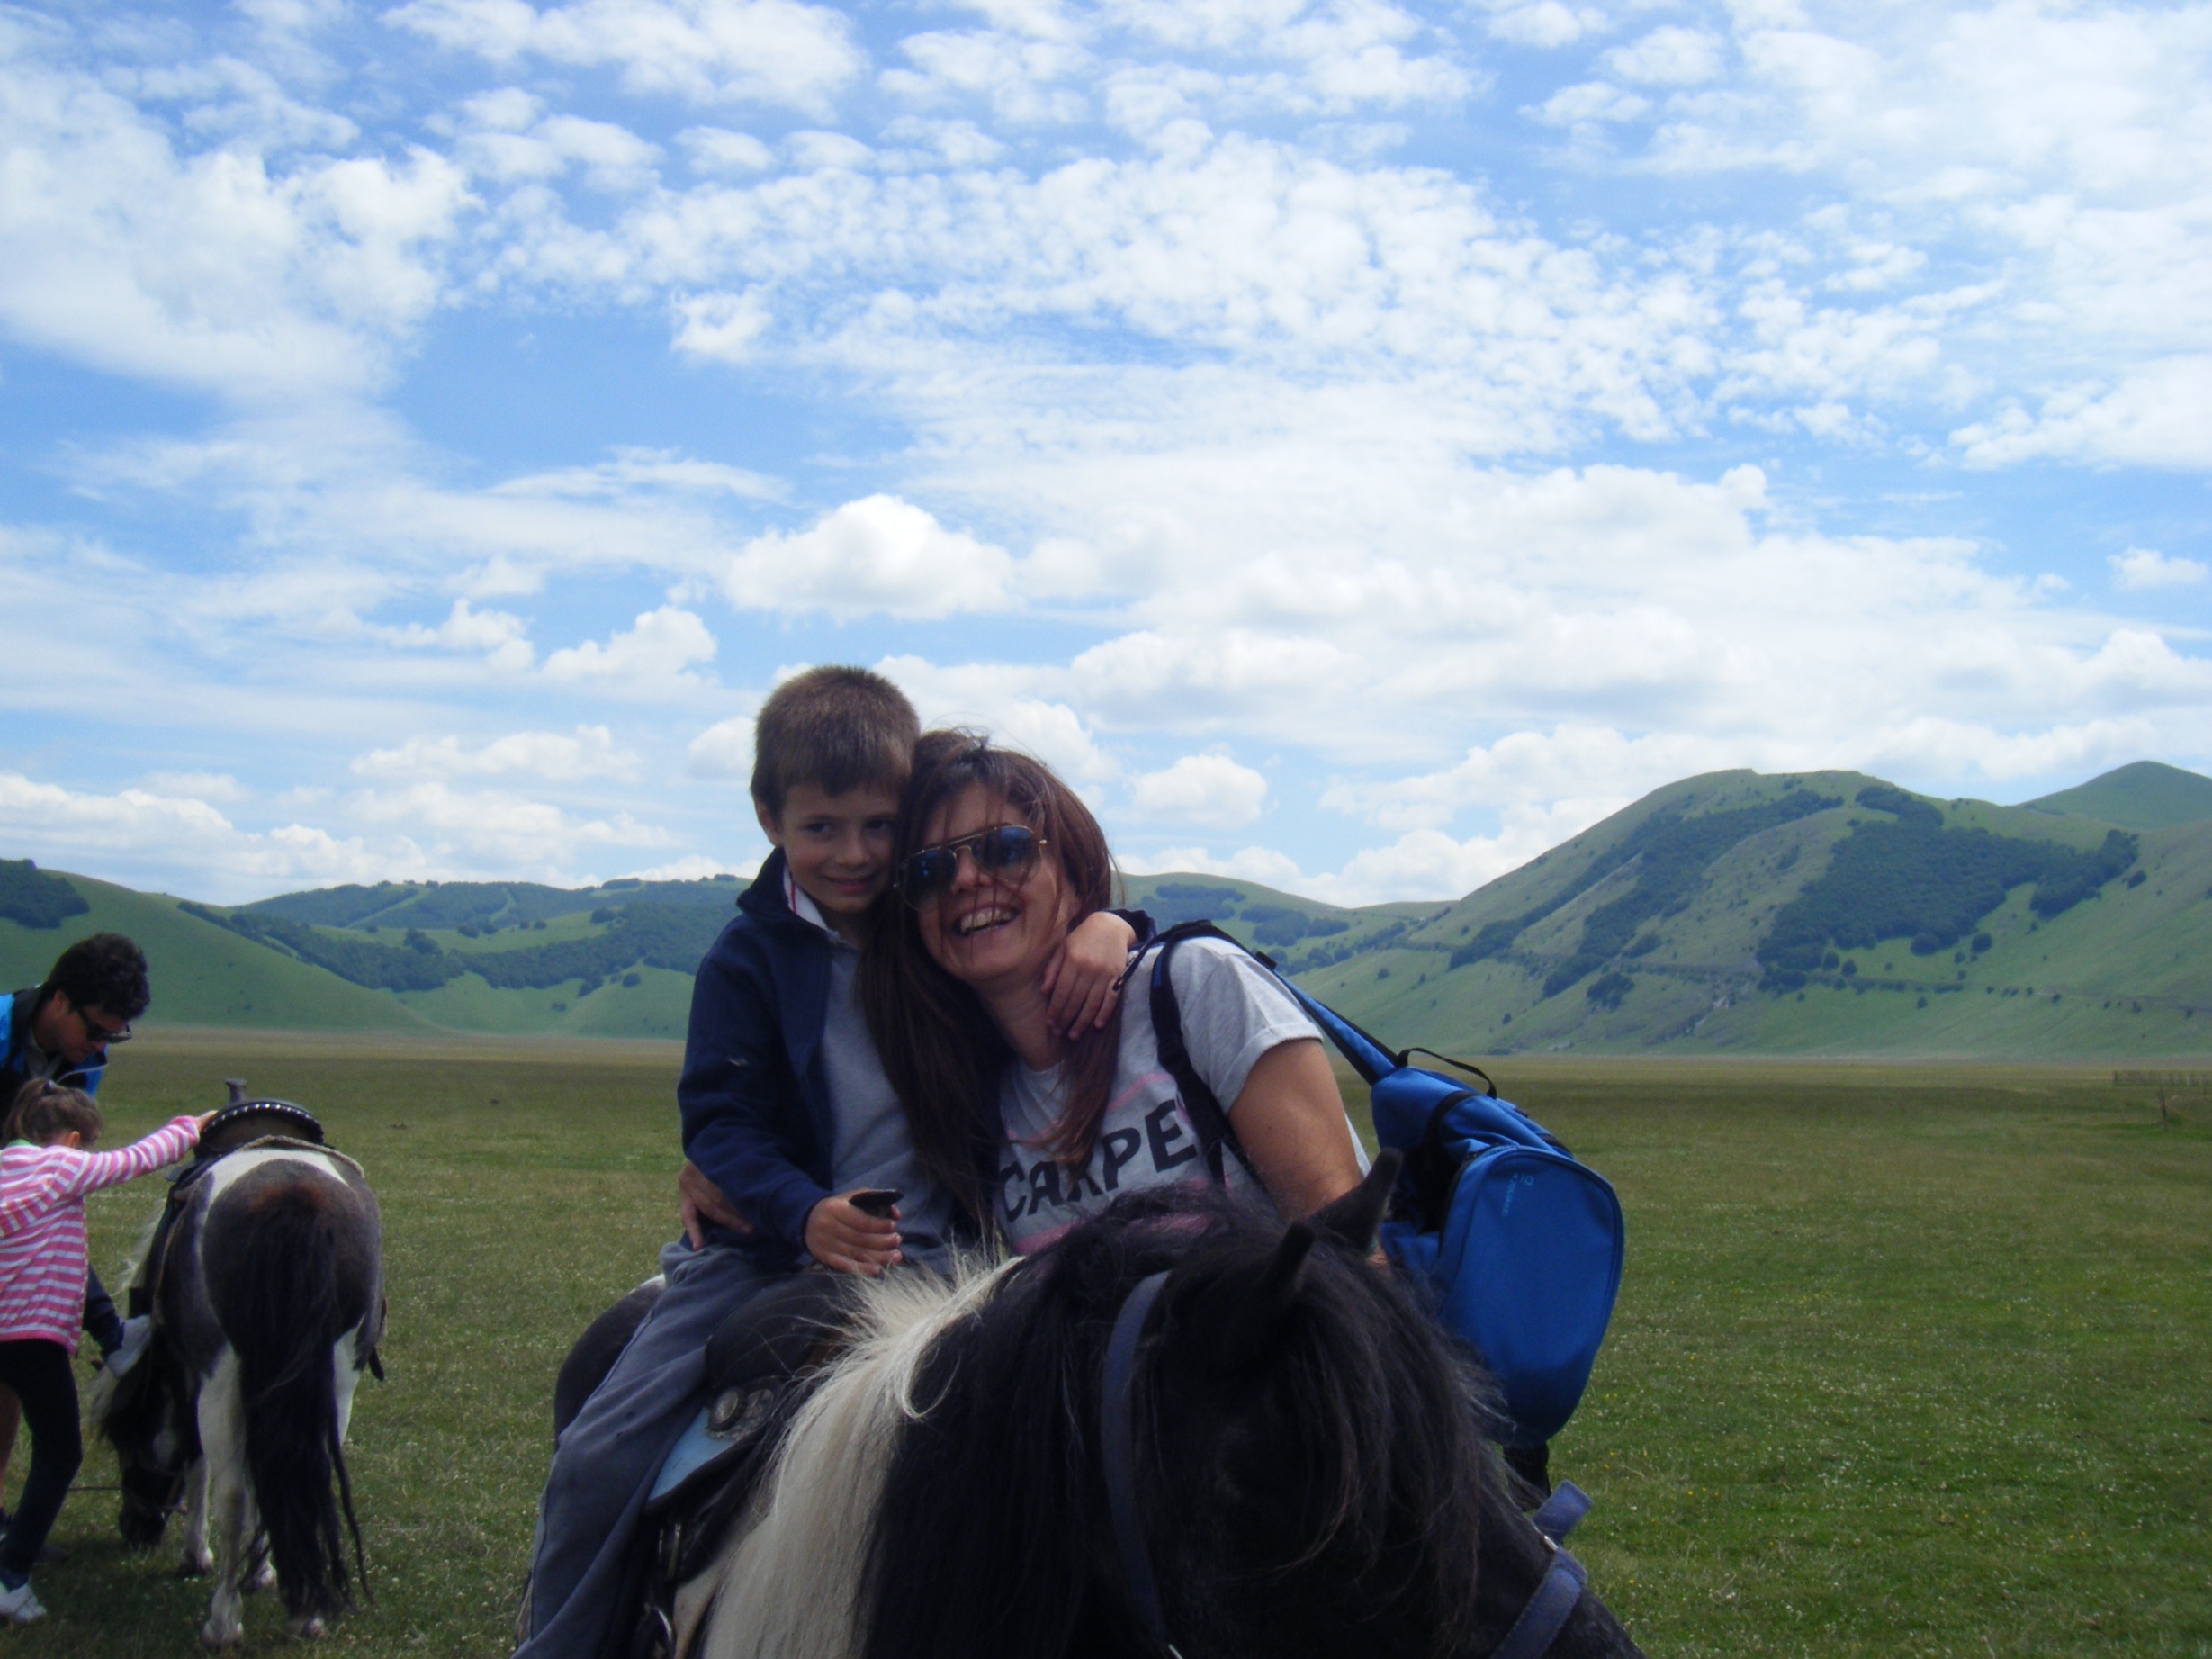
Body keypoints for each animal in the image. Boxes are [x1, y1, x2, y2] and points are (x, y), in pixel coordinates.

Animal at [94, 1096, 384, 1654]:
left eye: (125, 1439)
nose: (133, 1529)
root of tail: (296, 1199)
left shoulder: (194, 1376)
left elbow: (201, 1466)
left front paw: (197, 1556)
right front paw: (264, 1572)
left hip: (222, 1378)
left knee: (228, 1493)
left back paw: (223, 1623)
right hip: (338, 1377)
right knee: (304, 1471)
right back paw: (304, 1612)